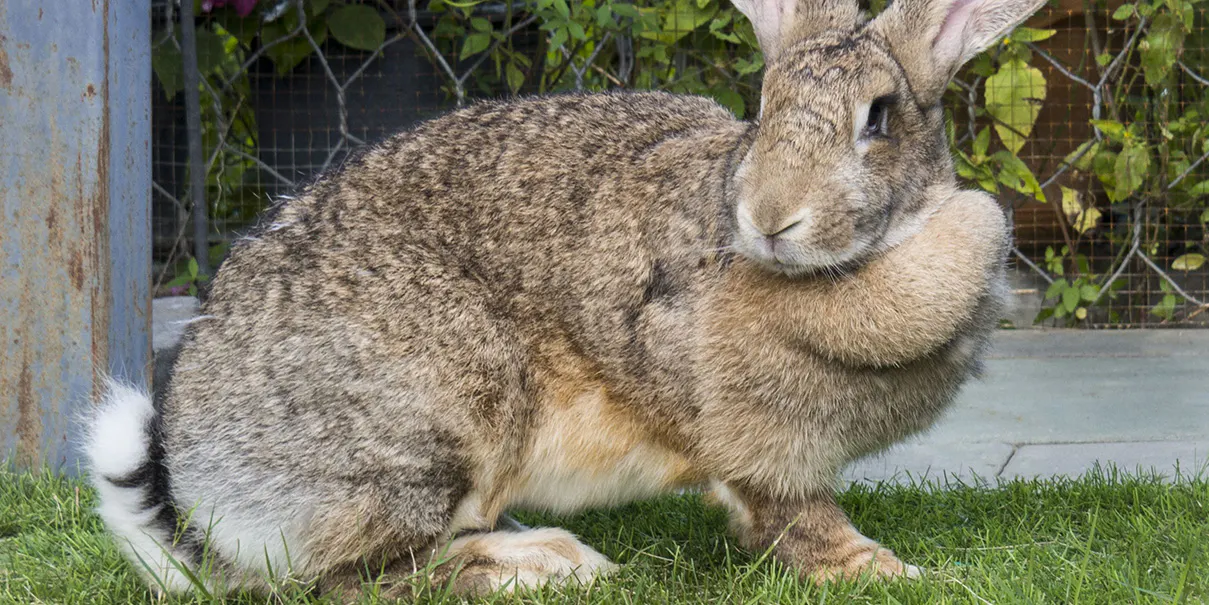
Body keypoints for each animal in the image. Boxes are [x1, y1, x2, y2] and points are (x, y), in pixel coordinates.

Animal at [87, 0, 1039, 595]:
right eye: (762, 107)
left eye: (878, 118)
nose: (771, 217)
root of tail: (200, 485)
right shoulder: (757, 441)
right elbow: (794, 518)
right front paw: (889, 572)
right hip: (434, 423)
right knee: (361, 579)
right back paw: (544, 565)